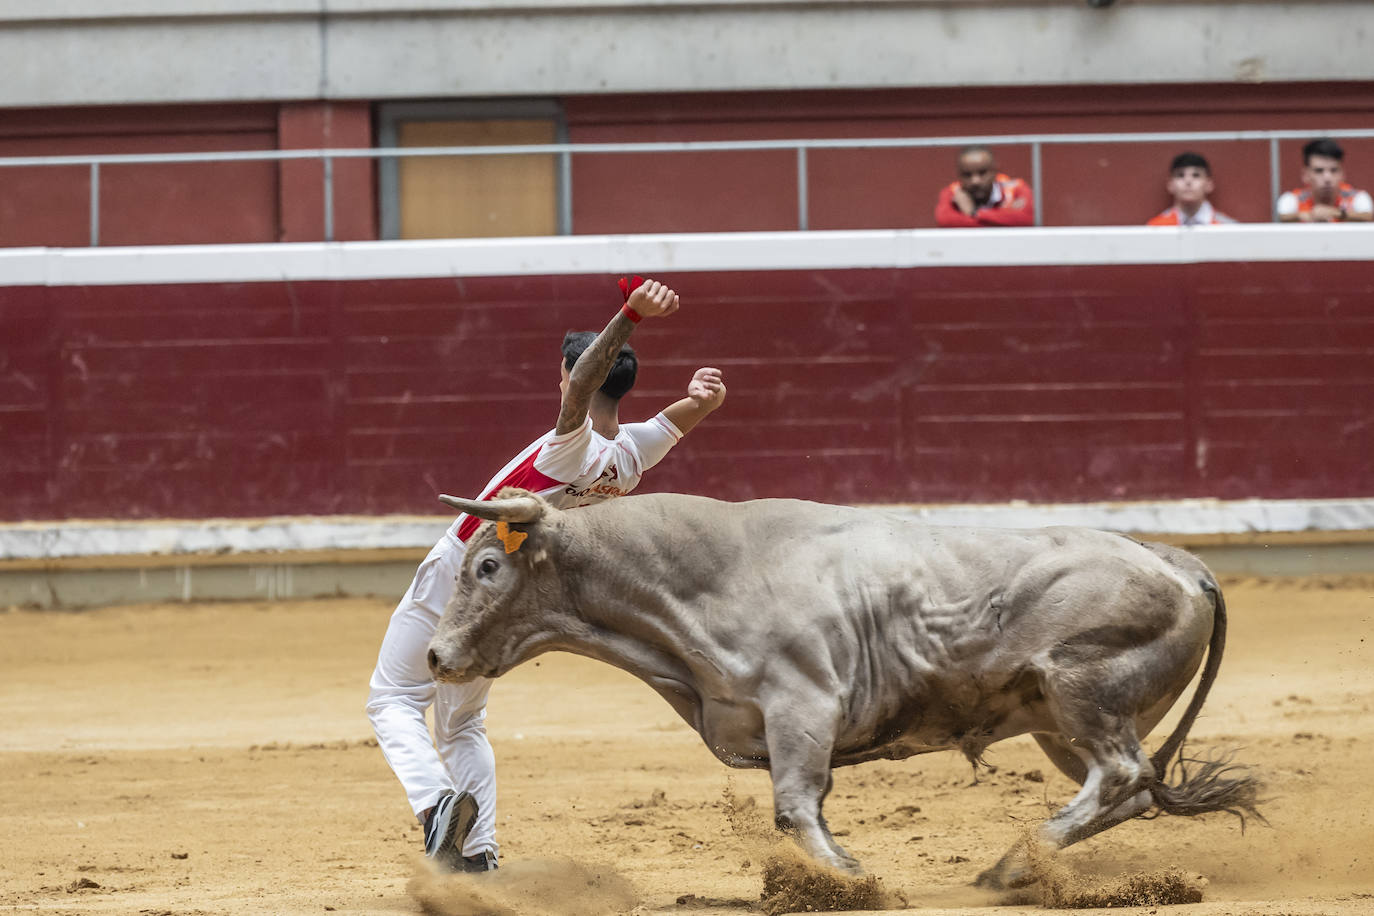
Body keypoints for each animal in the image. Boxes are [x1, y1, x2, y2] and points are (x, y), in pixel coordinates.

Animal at [425, 491, 1258, 884]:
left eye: (487, 566)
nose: (435, 655)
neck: (712, 575)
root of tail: (1178, 562)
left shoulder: (805, 706)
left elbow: (796, 807)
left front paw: (850, 880)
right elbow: (802, 807)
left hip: (1082, 691)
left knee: (1121, 774)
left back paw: (1012, 864)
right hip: (1060, 725)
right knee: (1134, 789)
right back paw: (1023, 865)